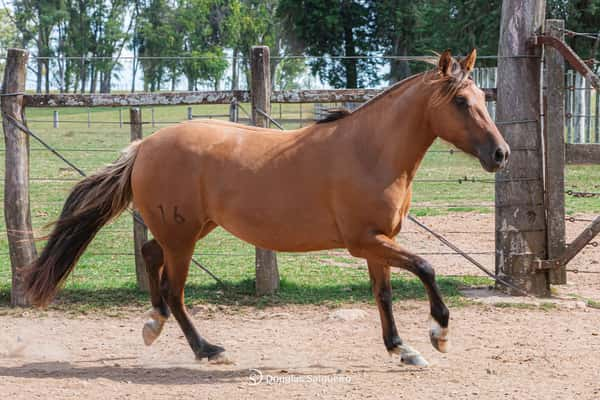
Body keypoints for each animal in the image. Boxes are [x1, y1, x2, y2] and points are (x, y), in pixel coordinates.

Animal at [24, 49, 510, 366]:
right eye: (461, 102)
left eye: (483, 100)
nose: (501, 154)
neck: (371, 151)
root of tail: (144, 146)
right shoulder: (364, 241)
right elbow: (427, 266)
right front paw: (439, 334)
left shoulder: (379, 241)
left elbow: (384, 294)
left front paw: (401, 348)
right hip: (183, 239)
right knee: (173, 290)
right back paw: (207, 349)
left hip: (189, 229)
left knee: (150, 257)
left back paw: (153, 324)